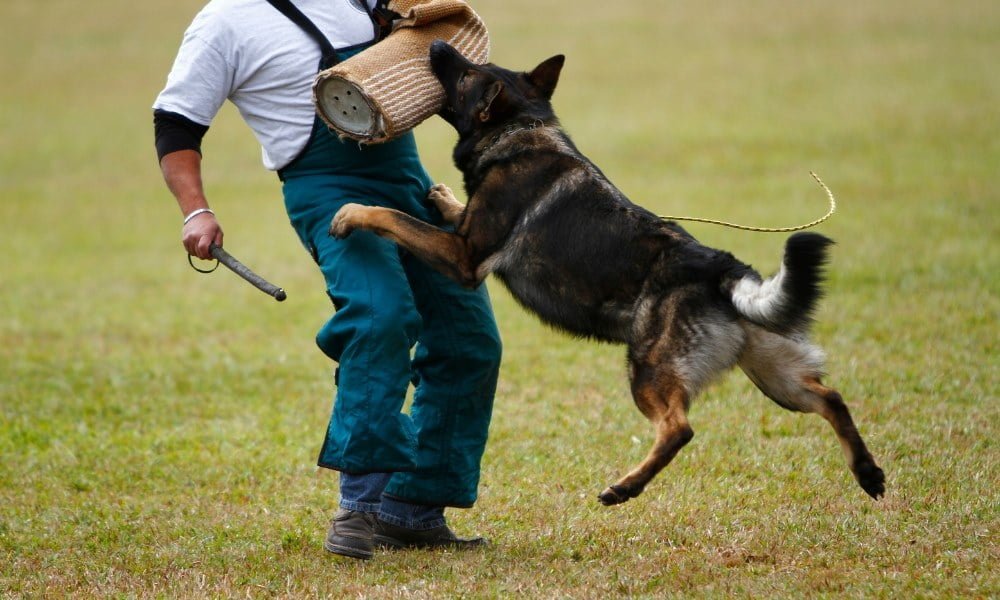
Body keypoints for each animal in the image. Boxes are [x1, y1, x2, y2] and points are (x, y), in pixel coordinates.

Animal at [328, 39, 884, 504]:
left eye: (466, 74)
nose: (439, 44)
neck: (523, 128)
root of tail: (721, 267)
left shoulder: (463, 257)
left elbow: (391, 216)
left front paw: (353, 213)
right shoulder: (463, 236)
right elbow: (447, 208)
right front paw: (441, 195)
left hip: (650, 369)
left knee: (679, 428)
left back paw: (625, 487)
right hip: (776, 378)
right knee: (831, 397)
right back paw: (868, 473)